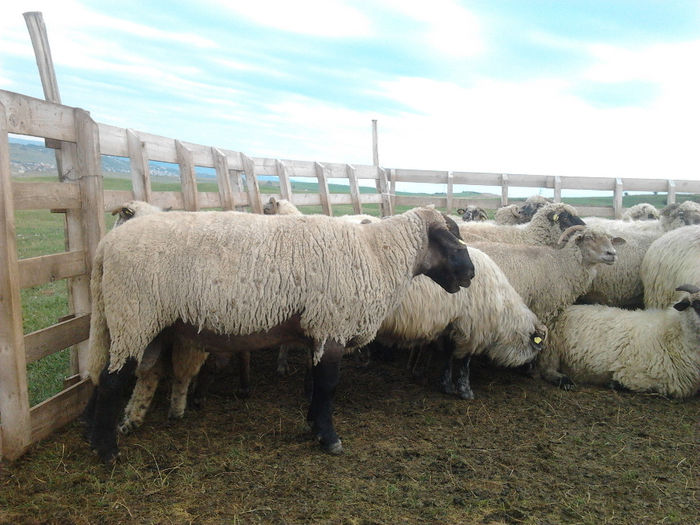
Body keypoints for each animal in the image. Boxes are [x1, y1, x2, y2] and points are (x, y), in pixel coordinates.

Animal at [82, 207, 476, 460]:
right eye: (452, 239)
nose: (471, 273)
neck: (379, 255)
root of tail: (105, 247)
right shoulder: (331, 326)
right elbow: (328, 386)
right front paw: (329, 438)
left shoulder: (318, 331)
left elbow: (315, 383)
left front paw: (313, 427)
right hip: (133, 314)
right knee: (113, 379)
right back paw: (107, 452)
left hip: (125, 320)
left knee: (102, 374)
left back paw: (94, 435)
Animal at [374, 246, 548, 398]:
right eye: (537, 350)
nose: (534, 373)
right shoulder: (473, 327)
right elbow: (465, 362)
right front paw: (465, 391)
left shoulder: (451, 324)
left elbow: (446, 355)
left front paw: (437, 381)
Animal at [540, 282, 700, 398]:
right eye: (696, 305)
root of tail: (565, 309)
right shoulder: (635, 375)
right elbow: (649, 387)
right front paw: (613, 384)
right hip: (551, 347)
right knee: (547, 370)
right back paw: (565, 381)